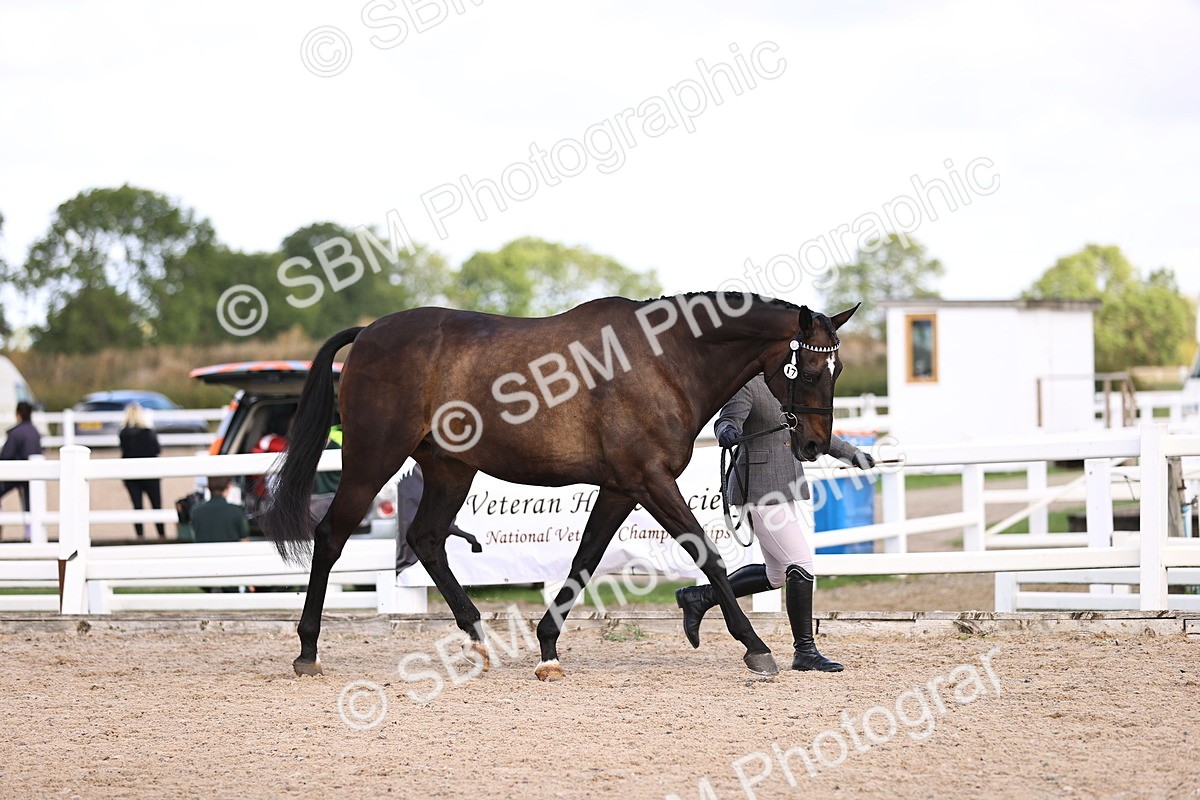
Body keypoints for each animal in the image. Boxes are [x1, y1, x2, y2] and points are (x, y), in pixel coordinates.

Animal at [258, 292, 858, 680]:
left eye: (838, 371)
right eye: (806, 372)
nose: (812, 445)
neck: (664, 359)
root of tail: (369, 333)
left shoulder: (621, 488)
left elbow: (584, 560)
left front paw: (548, 649)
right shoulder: (650, 481)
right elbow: (706, 554)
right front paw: (755, 647)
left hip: (450, 467)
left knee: (426, 538)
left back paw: (478, 640)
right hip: (373, 457)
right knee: (331, 536)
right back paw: (308, 650)